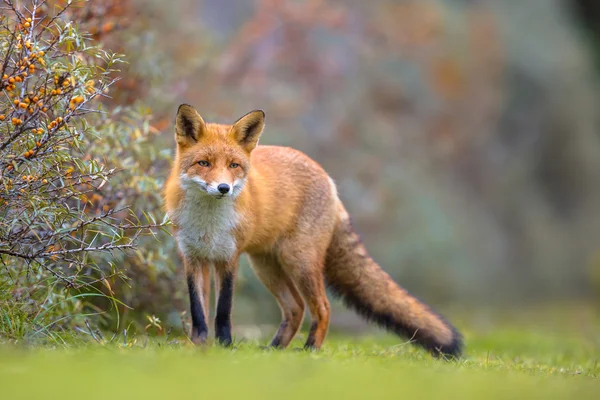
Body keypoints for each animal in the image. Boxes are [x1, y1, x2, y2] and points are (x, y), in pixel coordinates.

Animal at [164, 104, 464, 358]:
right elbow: (198, 311)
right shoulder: (193, 258)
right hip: (267, 266)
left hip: (299, 261)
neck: (207, 224)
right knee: (295, 308)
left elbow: (223, 311)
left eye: (233, 166)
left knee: (322, 307)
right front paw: (198, 348)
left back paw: (310, 351)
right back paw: (273, 350)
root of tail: (327, 177)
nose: (223, 188)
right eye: (204, 163)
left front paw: (225, 348)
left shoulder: (228, 258)